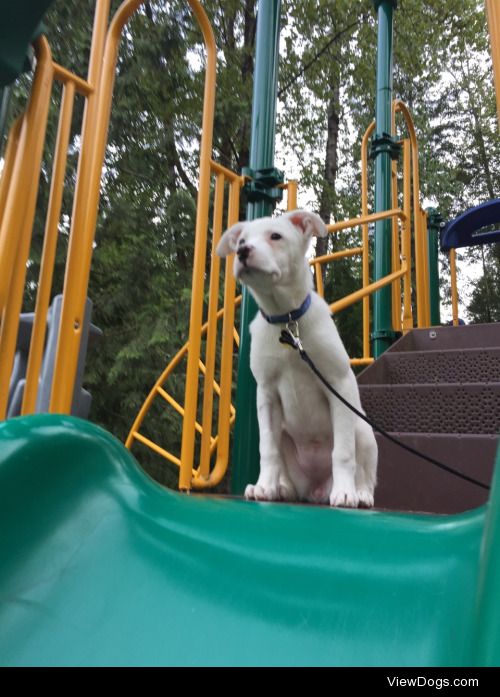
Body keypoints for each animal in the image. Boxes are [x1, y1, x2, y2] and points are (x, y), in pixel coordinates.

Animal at [217, 209, 376, 508]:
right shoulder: (266, 394)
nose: (242, 251)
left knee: (364, 471)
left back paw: (360, 492)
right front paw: (264, 486)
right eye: (241, 240)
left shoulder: (339, 383)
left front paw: (345, 492)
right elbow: (267, 449)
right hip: (284, 433)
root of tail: (316, 489)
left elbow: (343, 452)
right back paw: (282, 488)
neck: (286, 320)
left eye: (275, 236)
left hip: (362, 428)